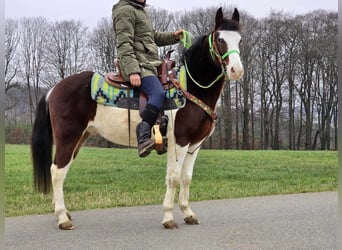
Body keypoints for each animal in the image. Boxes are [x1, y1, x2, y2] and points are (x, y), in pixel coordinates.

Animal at [30, 7, 243, 230]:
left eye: (240, 40)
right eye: (220, 39)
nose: (236, 70)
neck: (189, 88)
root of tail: (54, 89)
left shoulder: (195, 145)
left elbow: (186, 178)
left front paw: (188, 213)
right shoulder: (179, 142)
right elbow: (173, 178)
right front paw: (168, 217)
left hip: (79, 138)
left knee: (63, 169)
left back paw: (64, 214)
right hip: (68, 137)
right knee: (57, 171)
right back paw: (62, 218)